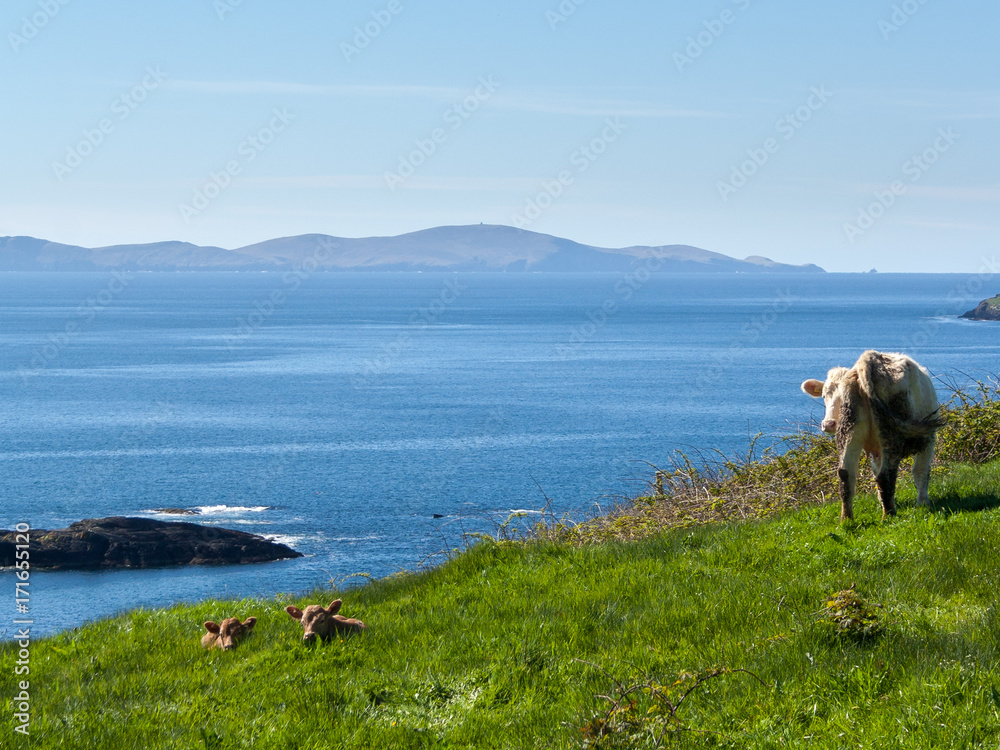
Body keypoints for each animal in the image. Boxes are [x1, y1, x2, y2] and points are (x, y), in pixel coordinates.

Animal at [801, 350, 945, 521]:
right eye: (824, 396)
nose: (828, 423)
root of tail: (868, 359)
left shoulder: (875, 451)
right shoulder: (929, 439)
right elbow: (921, 471)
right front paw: (923, 502)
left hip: (850, 431)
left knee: (846, 474)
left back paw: (846, 519)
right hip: (891, 434)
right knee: (885, 475)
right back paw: (889, 514)